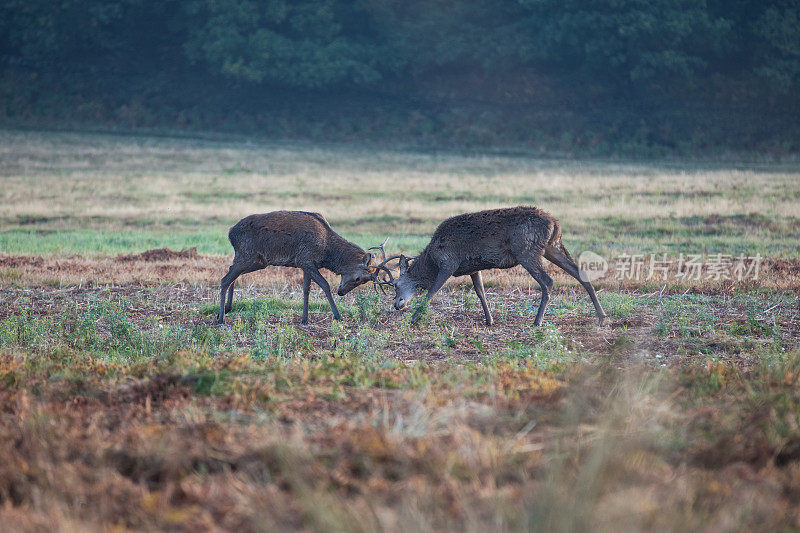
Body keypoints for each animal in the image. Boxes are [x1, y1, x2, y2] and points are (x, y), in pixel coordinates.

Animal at [217, 212, 380, 324]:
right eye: (358, 278)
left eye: (364, 281)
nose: (341, 293)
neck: (327, 251)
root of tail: (230, 233)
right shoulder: (306, 259)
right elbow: (325, 285)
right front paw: (337, 315)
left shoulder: (306, 264)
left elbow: (306, 289)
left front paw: (304, 319)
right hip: (247, 254)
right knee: (225, 279)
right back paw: (221, 318)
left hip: (257, 261)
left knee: (232, 273)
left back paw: (226, 308)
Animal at [374, 206, 608, 326]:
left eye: (395, 285)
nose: (397, 304)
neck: (432, 259)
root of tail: (555, 224)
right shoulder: (472, 268)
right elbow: (481, 292)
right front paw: (489, 320)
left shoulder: (449, 262)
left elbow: (431, 292)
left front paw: (415, 317)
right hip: (553, 247)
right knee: (580, 272)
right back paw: (602, 316)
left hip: (526, 249)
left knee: (548, 281)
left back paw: (537, 321)